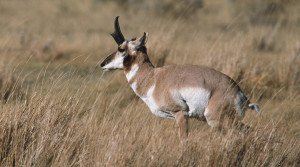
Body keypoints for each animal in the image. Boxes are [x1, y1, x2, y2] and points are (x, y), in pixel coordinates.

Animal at [101, 16, 260, 144]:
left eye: (121, 49)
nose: (102, 64)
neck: (153, 78)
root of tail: (240, 93)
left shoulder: (180, 114)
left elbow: (184, 141)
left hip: (217, 120)